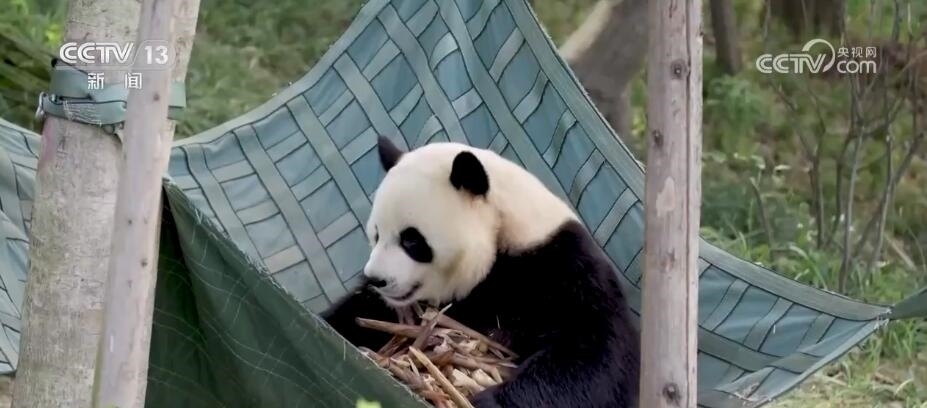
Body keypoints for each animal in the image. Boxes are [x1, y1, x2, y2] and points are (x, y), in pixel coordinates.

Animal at [322, 136, 640, 408]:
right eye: (376, 234)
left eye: (411, 240)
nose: (376, 279)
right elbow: (360, 313)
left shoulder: (562, 269)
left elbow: (593, 355)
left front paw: (486, 400)